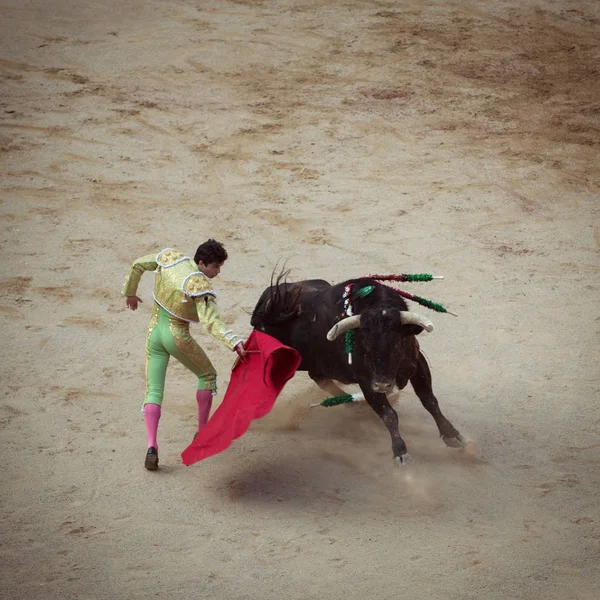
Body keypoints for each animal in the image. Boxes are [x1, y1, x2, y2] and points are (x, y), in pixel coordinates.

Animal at [251, 274, 466, 466]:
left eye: (397, 344)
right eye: (365, 346)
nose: (383, 385)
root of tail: (267, 302)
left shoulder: (417, 362)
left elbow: (429, 400)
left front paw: (452, 435)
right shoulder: (367, 381)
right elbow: (389, 414)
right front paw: (400, 451)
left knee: (319, 377)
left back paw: (354, 406)